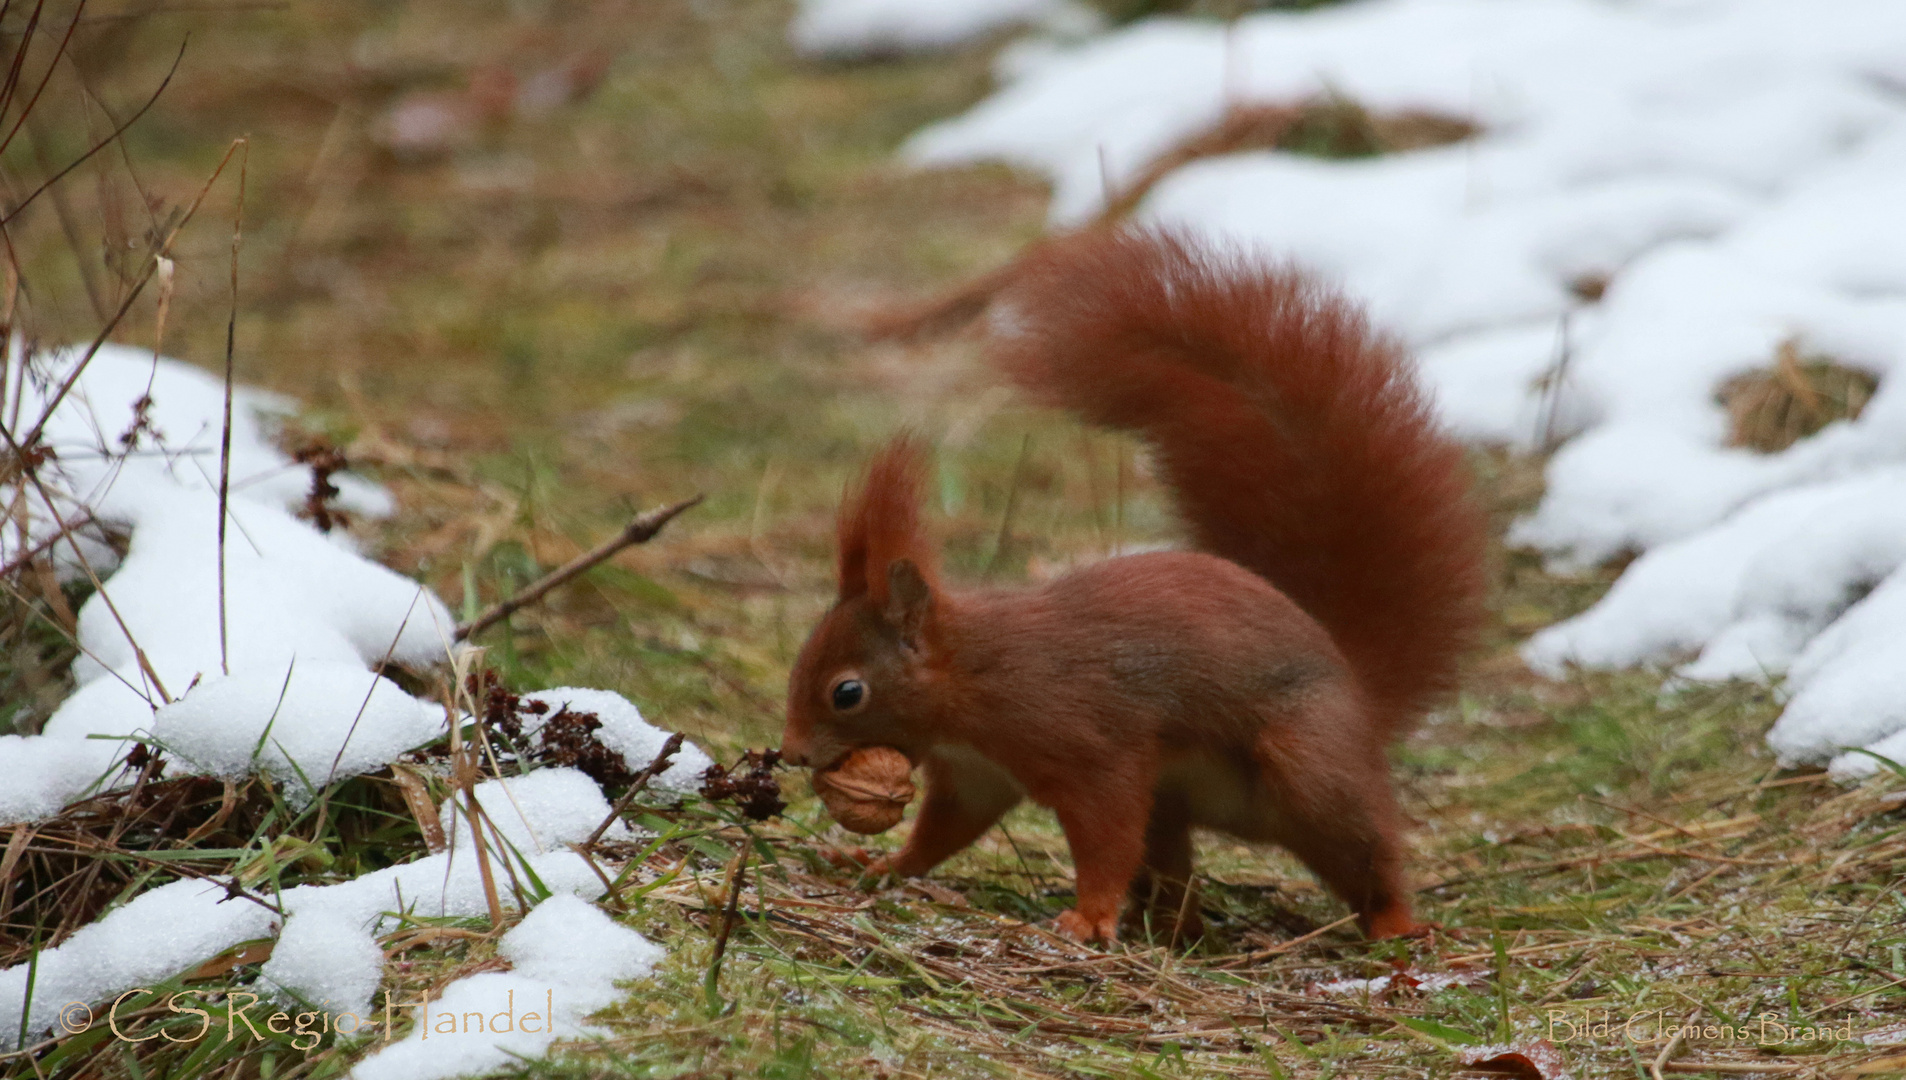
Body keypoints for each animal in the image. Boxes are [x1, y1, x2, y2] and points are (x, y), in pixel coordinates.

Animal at [773, 228, 1486, 944]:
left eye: (846, 693)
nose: (794, 754)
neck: (974, 676)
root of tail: (1357, 686)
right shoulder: (976, 774)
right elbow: (947, 830)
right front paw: (884, 864)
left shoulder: (1088, 745)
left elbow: (1106, 831)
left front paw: (1088, 917)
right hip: (1175, 800)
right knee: (1174, 863)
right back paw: (1174, 926)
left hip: (1307, 768)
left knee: (1362, 846)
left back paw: (1393, 924)